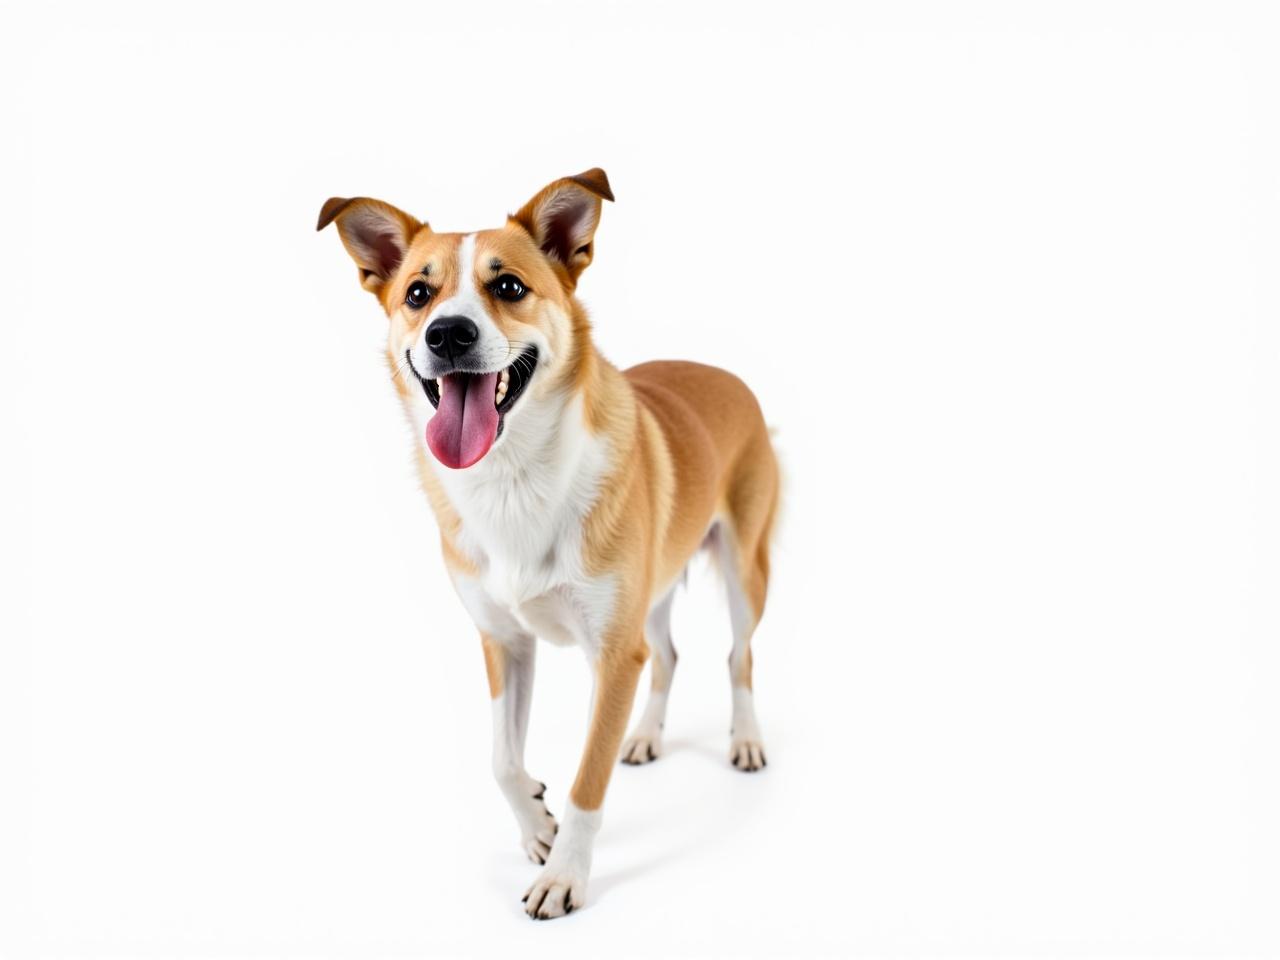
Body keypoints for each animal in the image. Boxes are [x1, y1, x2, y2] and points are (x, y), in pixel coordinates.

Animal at [320, 168, 778, 921]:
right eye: (418, 293)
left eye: (508, 286)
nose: (448, 334)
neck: (513, 478)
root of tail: (723, 372)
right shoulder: (504, 641)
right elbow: (501, 759)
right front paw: (536, 826)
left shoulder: (613, 656)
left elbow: (587, 780)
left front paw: (564, 875)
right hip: (652, 588)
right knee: (668, 653)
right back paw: (646, 735)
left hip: (745, 568)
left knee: (738, 655)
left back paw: (744, 741)